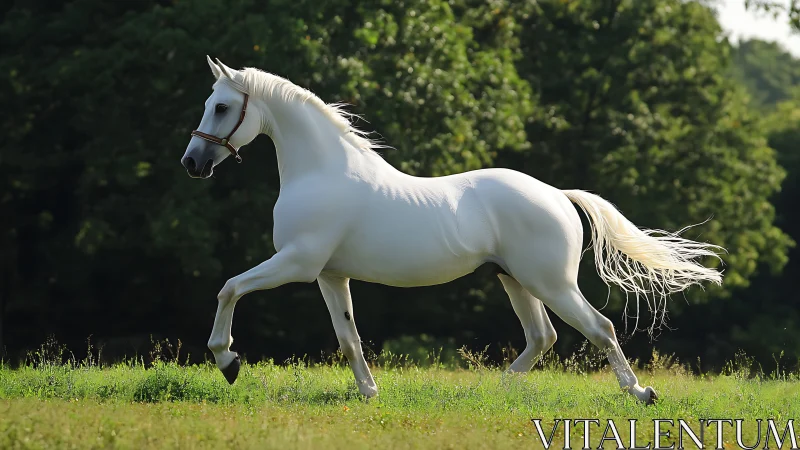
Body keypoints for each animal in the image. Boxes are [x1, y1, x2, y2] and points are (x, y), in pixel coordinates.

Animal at [182, 57, 723, 404]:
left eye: (222, 107)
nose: (193, 163)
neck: (322, 171)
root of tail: (558, 196)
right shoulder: (330, 276)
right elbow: (348, 337)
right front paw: (369, 393)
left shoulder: (296, 262)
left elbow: (229, 288)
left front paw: (227, 361)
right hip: (515, 281)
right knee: (542, 337)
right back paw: (495, 391)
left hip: (550, 283)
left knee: (598, 328)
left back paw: (641, 393)